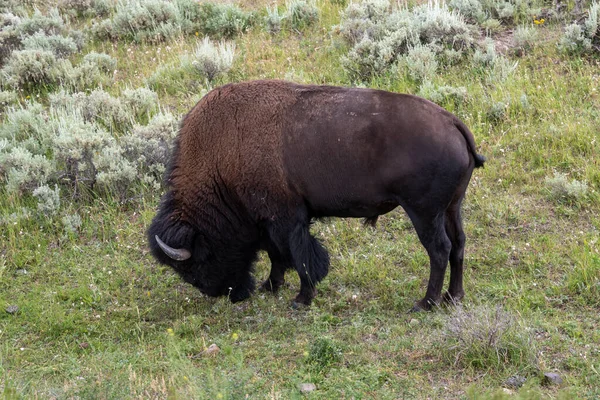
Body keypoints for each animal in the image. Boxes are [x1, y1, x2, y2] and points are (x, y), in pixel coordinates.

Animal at [148, 79, 486, 310]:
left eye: (196, 263)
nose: (223, 292)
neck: (222, 158)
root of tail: (452, 122)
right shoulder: (270, 221)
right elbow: (278, 255)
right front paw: (271, 286)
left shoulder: (285, 219)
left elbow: (299, 255)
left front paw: (301, 298)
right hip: (451, 208)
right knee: (458, 245)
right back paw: (453, 297)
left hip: (424, 212)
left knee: (439, 250)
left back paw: (425, 303)